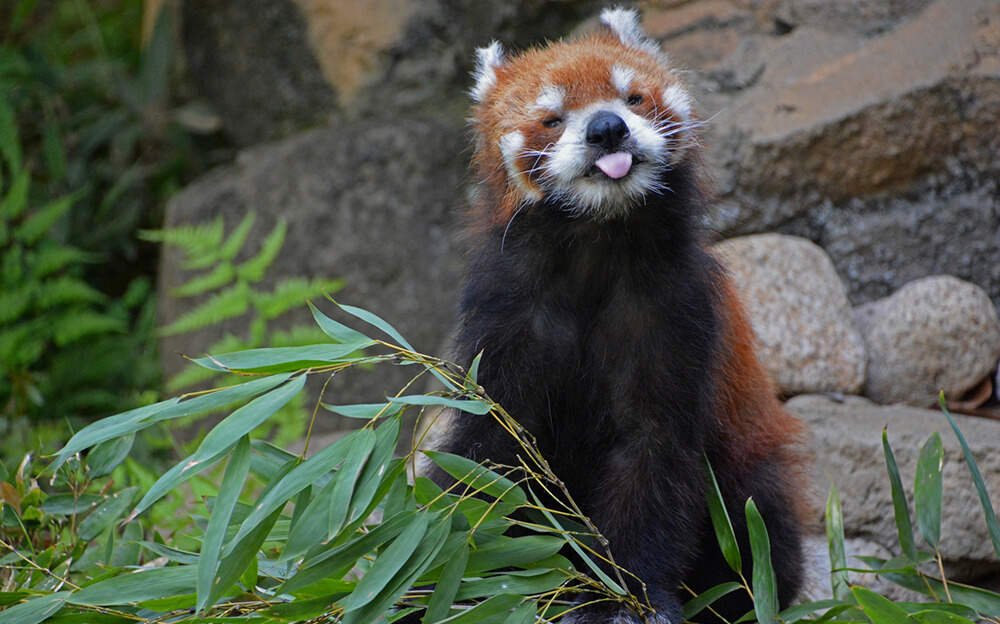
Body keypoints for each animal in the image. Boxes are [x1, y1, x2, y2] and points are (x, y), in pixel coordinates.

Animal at [436, 6, 804, 624]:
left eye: (633, 97)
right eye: (552, 118)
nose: (607, 128)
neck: (596, 240)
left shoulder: (675, 312)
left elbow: (651, 456)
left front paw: (626, 598)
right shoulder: (507, 316)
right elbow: (489, 451)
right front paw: (463, 571)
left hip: (751, 469)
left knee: (760, 538)